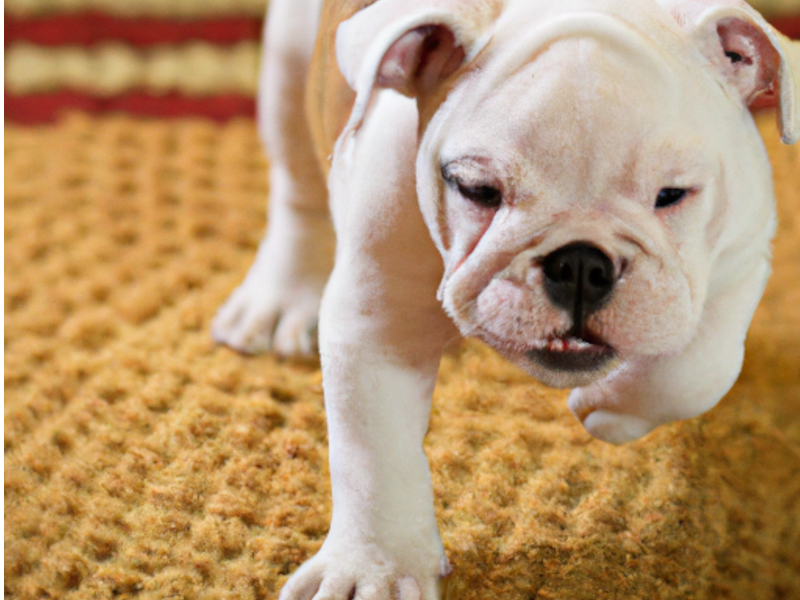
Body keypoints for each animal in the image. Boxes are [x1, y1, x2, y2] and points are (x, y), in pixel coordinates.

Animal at [214, 0, 800, 596]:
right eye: (477, 190)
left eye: (672, 195)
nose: (581, 263)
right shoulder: (377, 324)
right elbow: (372, 458)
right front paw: (372, 571)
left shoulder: (741, 254)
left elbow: (698, 370)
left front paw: (611, 410)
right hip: (291, 62)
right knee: (298, 183)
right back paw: (276, 300)